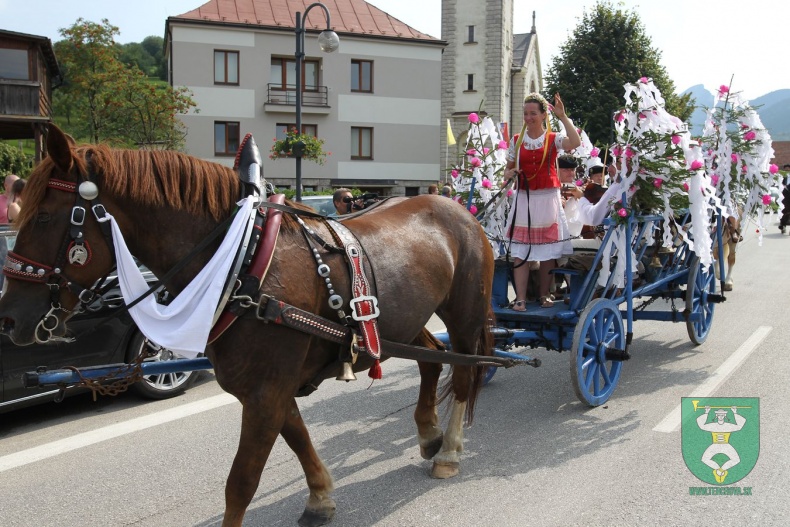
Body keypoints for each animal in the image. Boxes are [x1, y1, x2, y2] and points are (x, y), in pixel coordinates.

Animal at [0, 128, 496, 527]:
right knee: (432, 361)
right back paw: (429, 434)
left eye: (44, 217)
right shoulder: (268, 388)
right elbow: (297, 437)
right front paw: (320, 497)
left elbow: (241, 482)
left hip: (465, 315)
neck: (244, 258)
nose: (9, 317)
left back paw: (450, 450)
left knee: (465, 372)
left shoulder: (265, 391)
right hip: (403, 323)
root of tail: (456, 207)